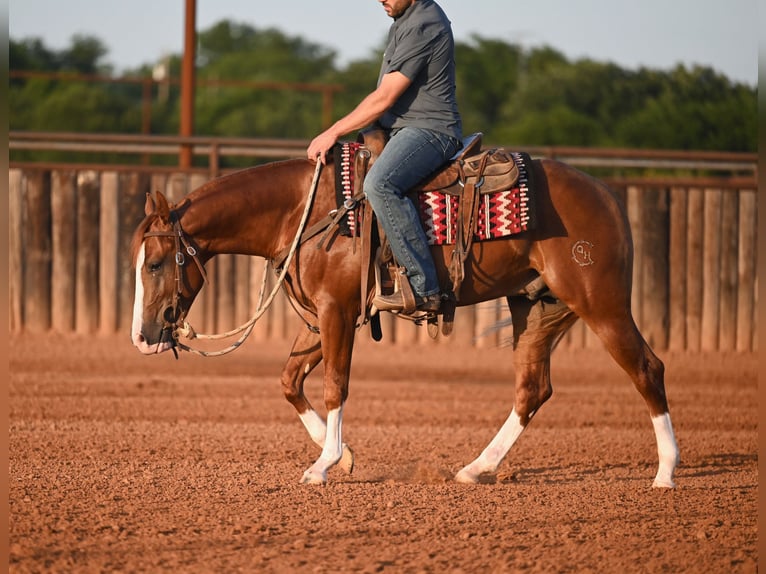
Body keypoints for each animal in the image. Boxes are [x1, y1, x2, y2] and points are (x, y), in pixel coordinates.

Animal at [130, 149, 679, 488]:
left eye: (154, 264)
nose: (143, 336)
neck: (306, 212)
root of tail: (607, 196)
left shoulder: (336, 312)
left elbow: (335, 385)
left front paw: (324, 465)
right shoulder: (325, 319)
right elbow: (289, 381)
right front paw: (342, 454)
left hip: (600, 301)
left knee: (647, 369)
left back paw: (666, 473)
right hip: (534, 305)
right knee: (532, 389)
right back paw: (475, 468)